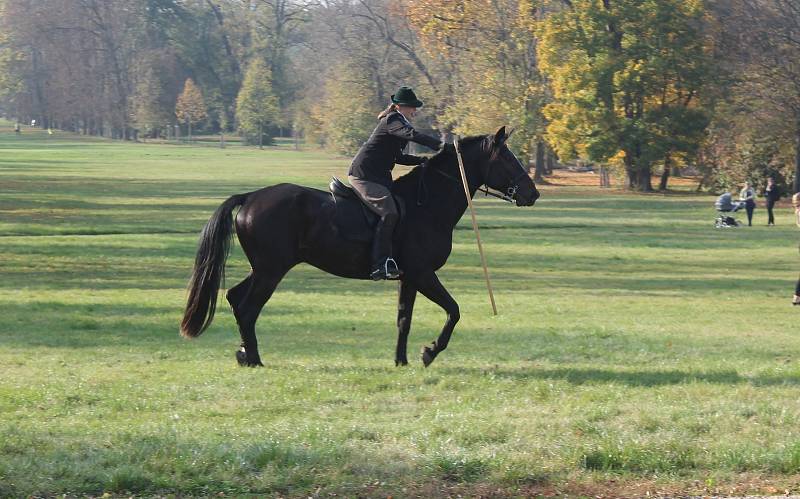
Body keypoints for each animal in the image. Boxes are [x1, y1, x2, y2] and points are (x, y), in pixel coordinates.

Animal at [180, 126, 540, 368]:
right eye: (507, 158)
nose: (533, 193)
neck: (427, 204)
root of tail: (251, 197)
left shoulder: (409, 278)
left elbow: (404, 320)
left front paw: (401, 361)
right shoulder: (423, 274)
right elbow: (453, 310)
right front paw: (429, 351)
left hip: (263, 268)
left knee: (235, 298)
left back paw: (244, 353)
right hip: (271, 270)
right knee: (248, 307)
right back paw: (253, 357)